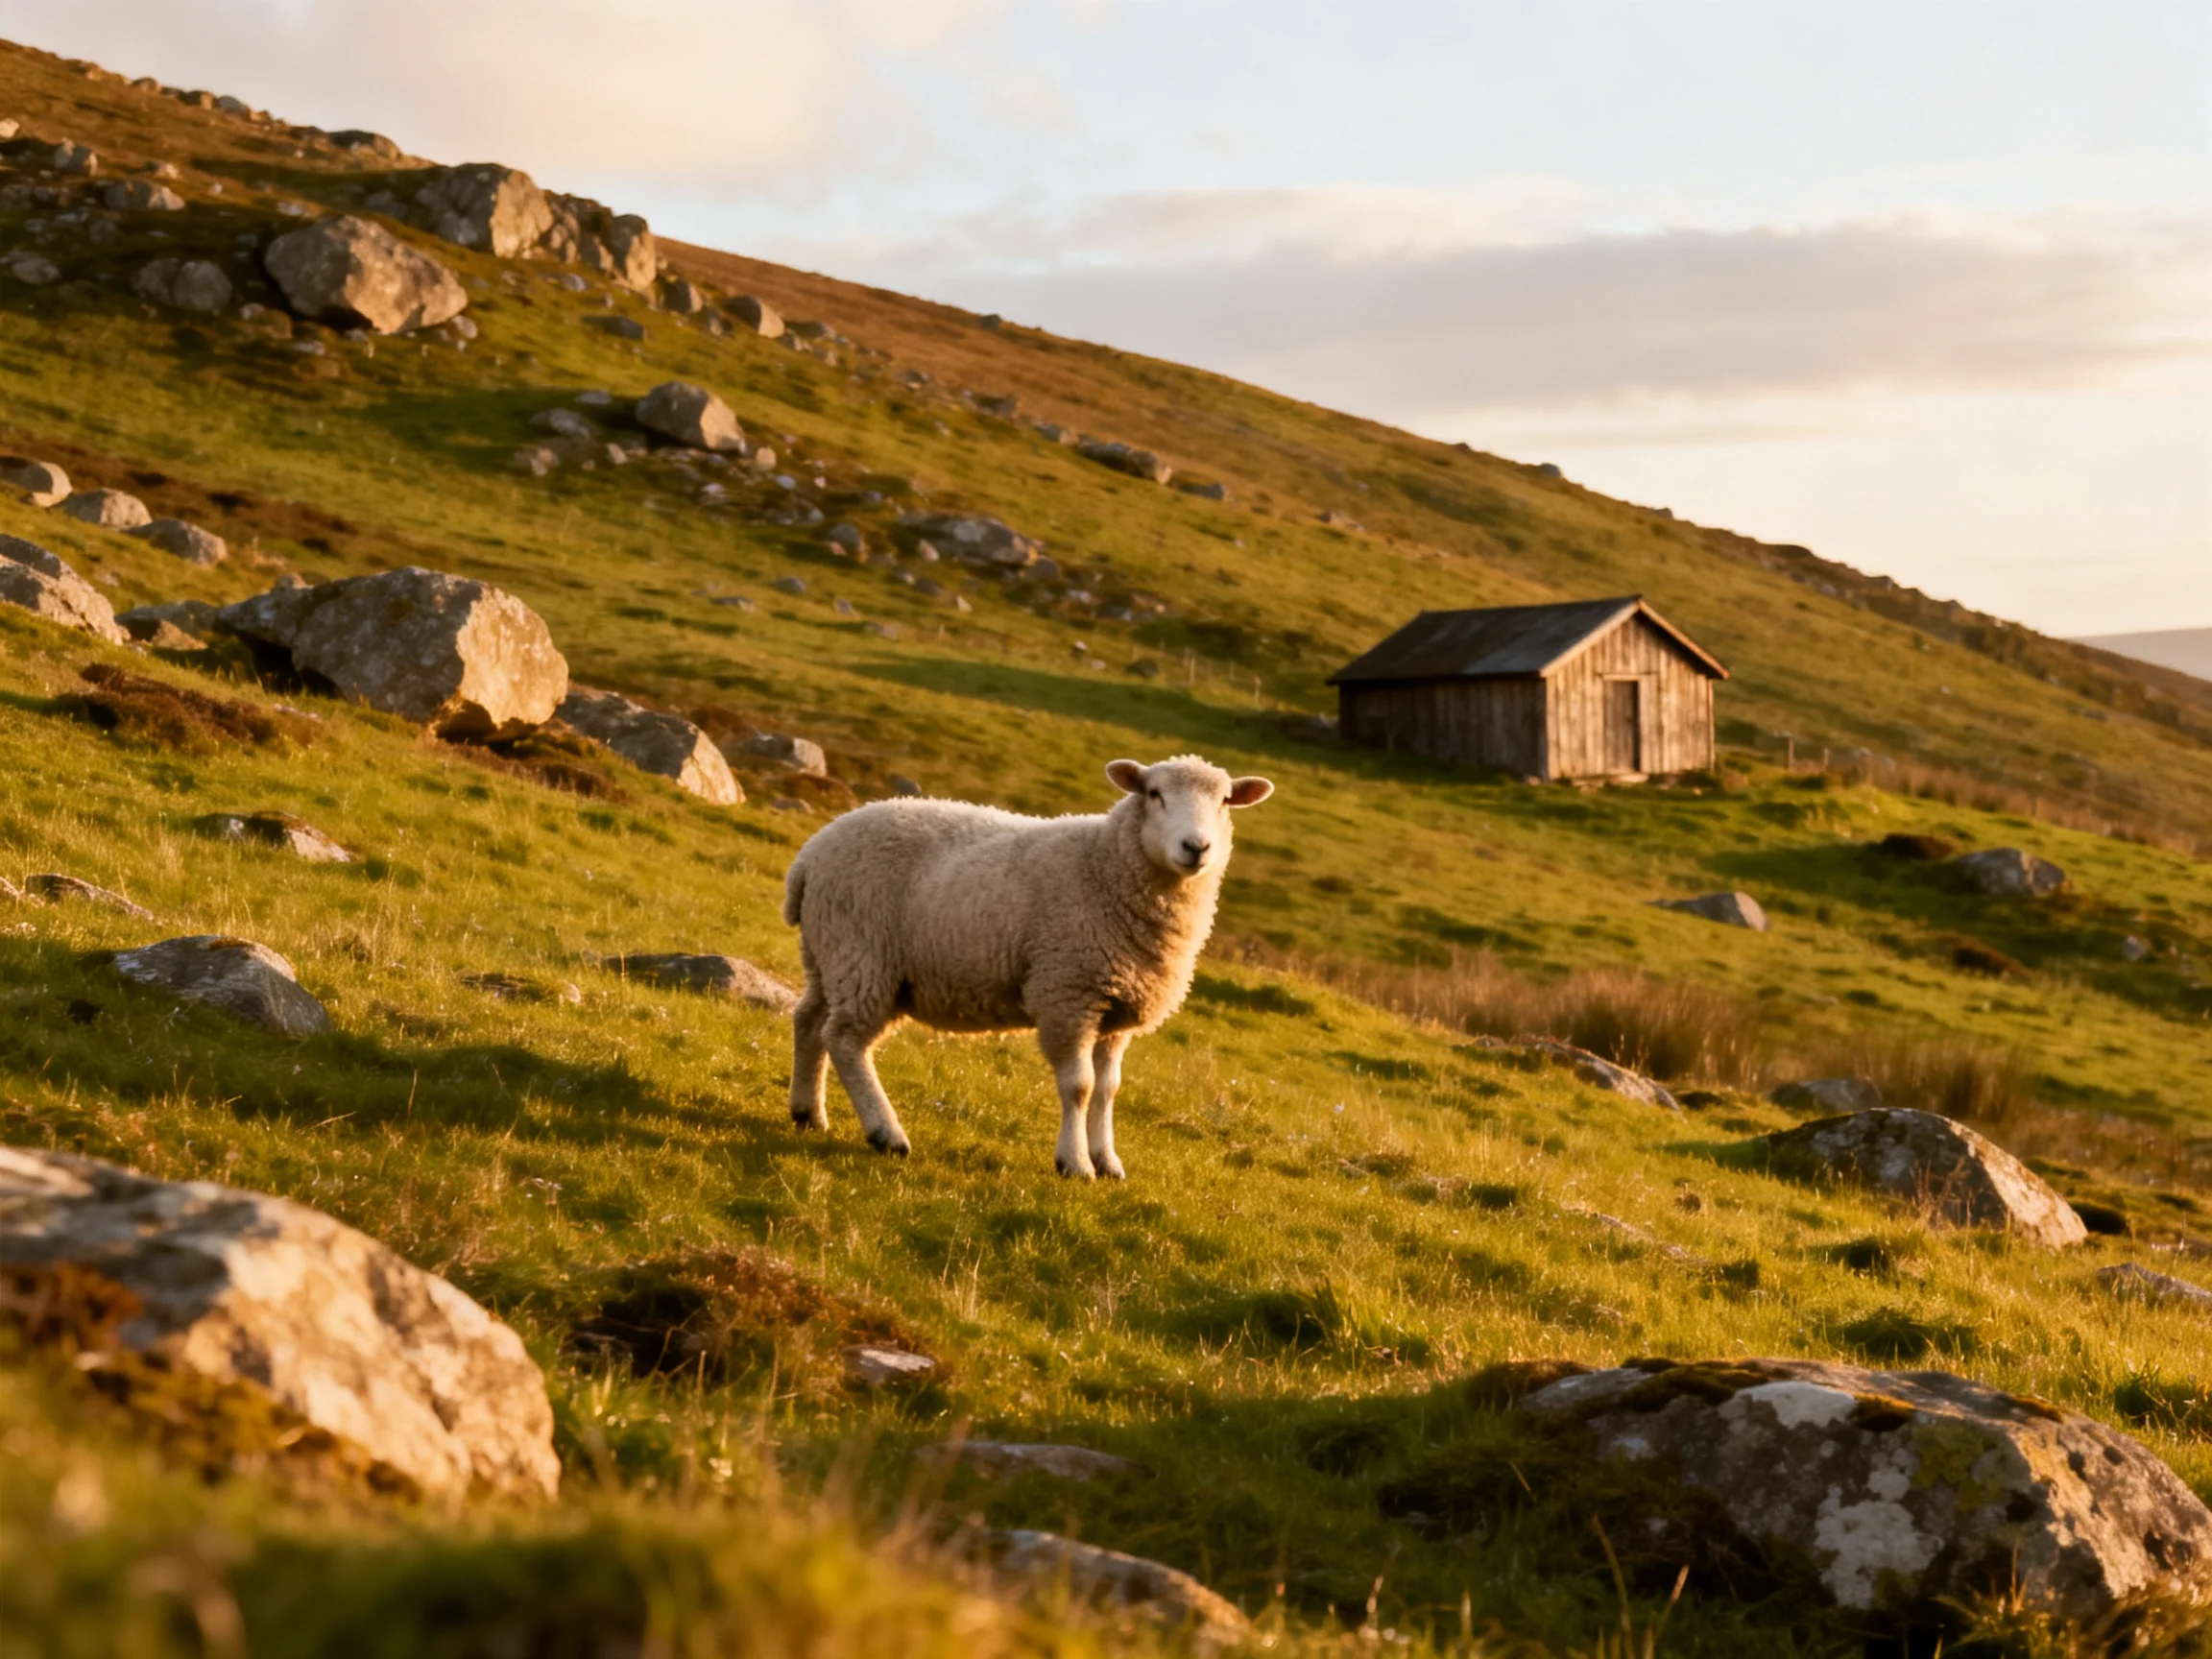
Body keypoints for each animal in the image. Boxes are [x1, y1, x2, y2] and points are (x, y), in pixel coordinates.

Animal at [781, 754, 1275, 1177]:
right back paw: (886, 1133)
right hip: (863, 956)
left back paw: (808, 1111)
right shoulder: (1067, 995)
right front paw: (1075, 1163)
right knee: (845, 1040)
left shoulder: (1116, 1010)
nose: (1196, 847)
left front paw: (1107, 1161)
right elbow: (1080, 1086)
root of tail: (810, 854)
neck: (1105, 866)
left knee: (809, 1021)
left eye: (1224, 800)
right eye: (1154, 794)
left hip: (828, 955)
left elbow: (1109, 1089)